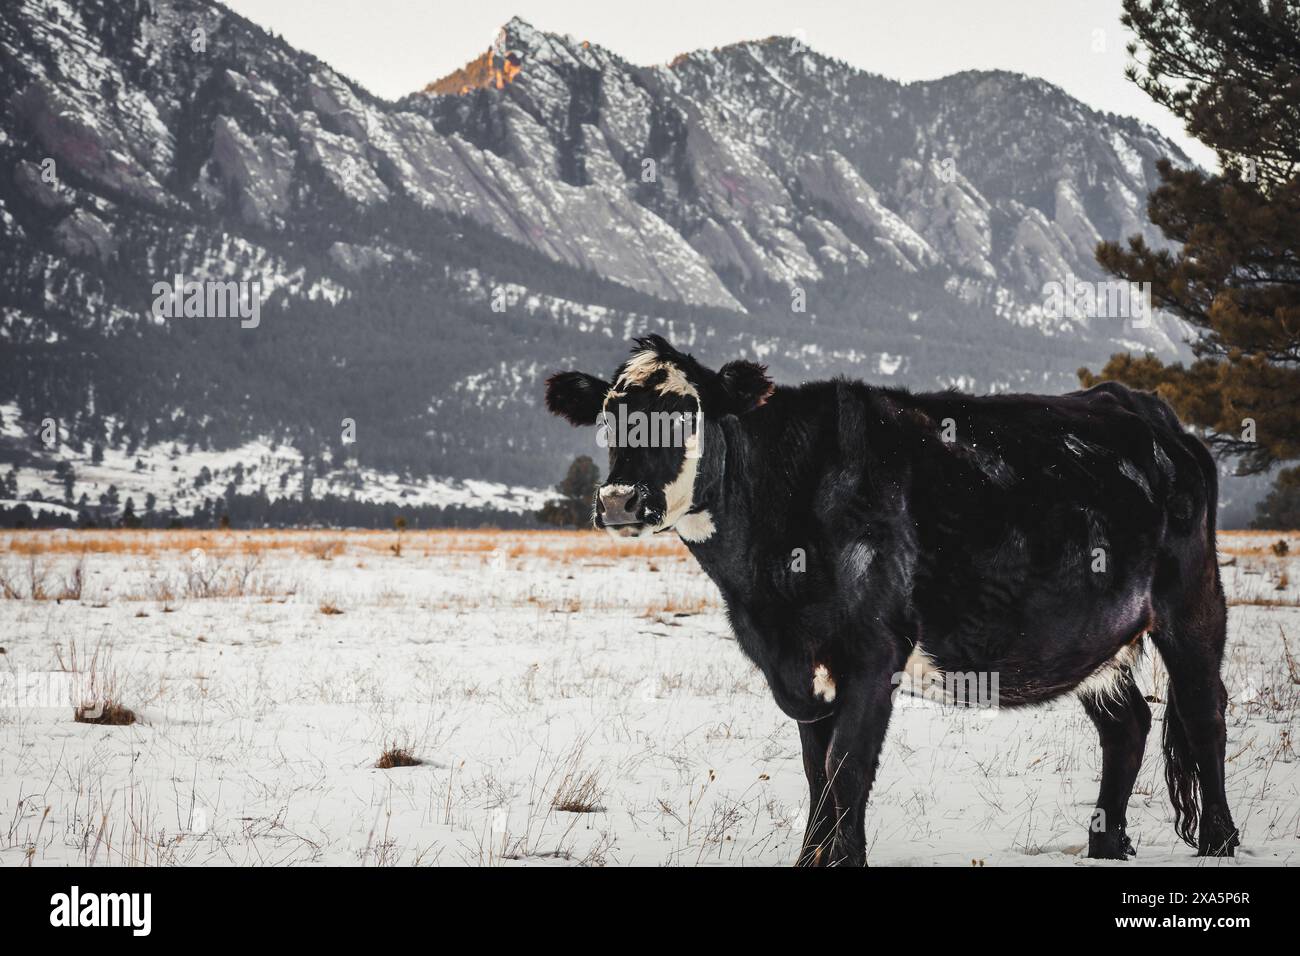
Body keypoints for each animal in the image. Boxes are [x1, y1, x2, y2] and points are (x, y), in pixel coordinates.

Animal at [544, 334, 1240, 866]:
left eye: (686, 411)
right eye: (609, 416)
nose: (618, 501)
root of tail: (1145, 408)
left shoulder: (873, 652)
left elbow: (847, 769)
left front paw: (843, 860)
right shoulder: (798, 667)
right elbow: (816, 772)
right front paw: (811, 859)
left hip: (1192, 603)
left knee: (1204, 712)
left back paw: (1219, 841)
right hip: (1095, 634)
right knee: (1128, 725)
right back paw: (1106, 844)